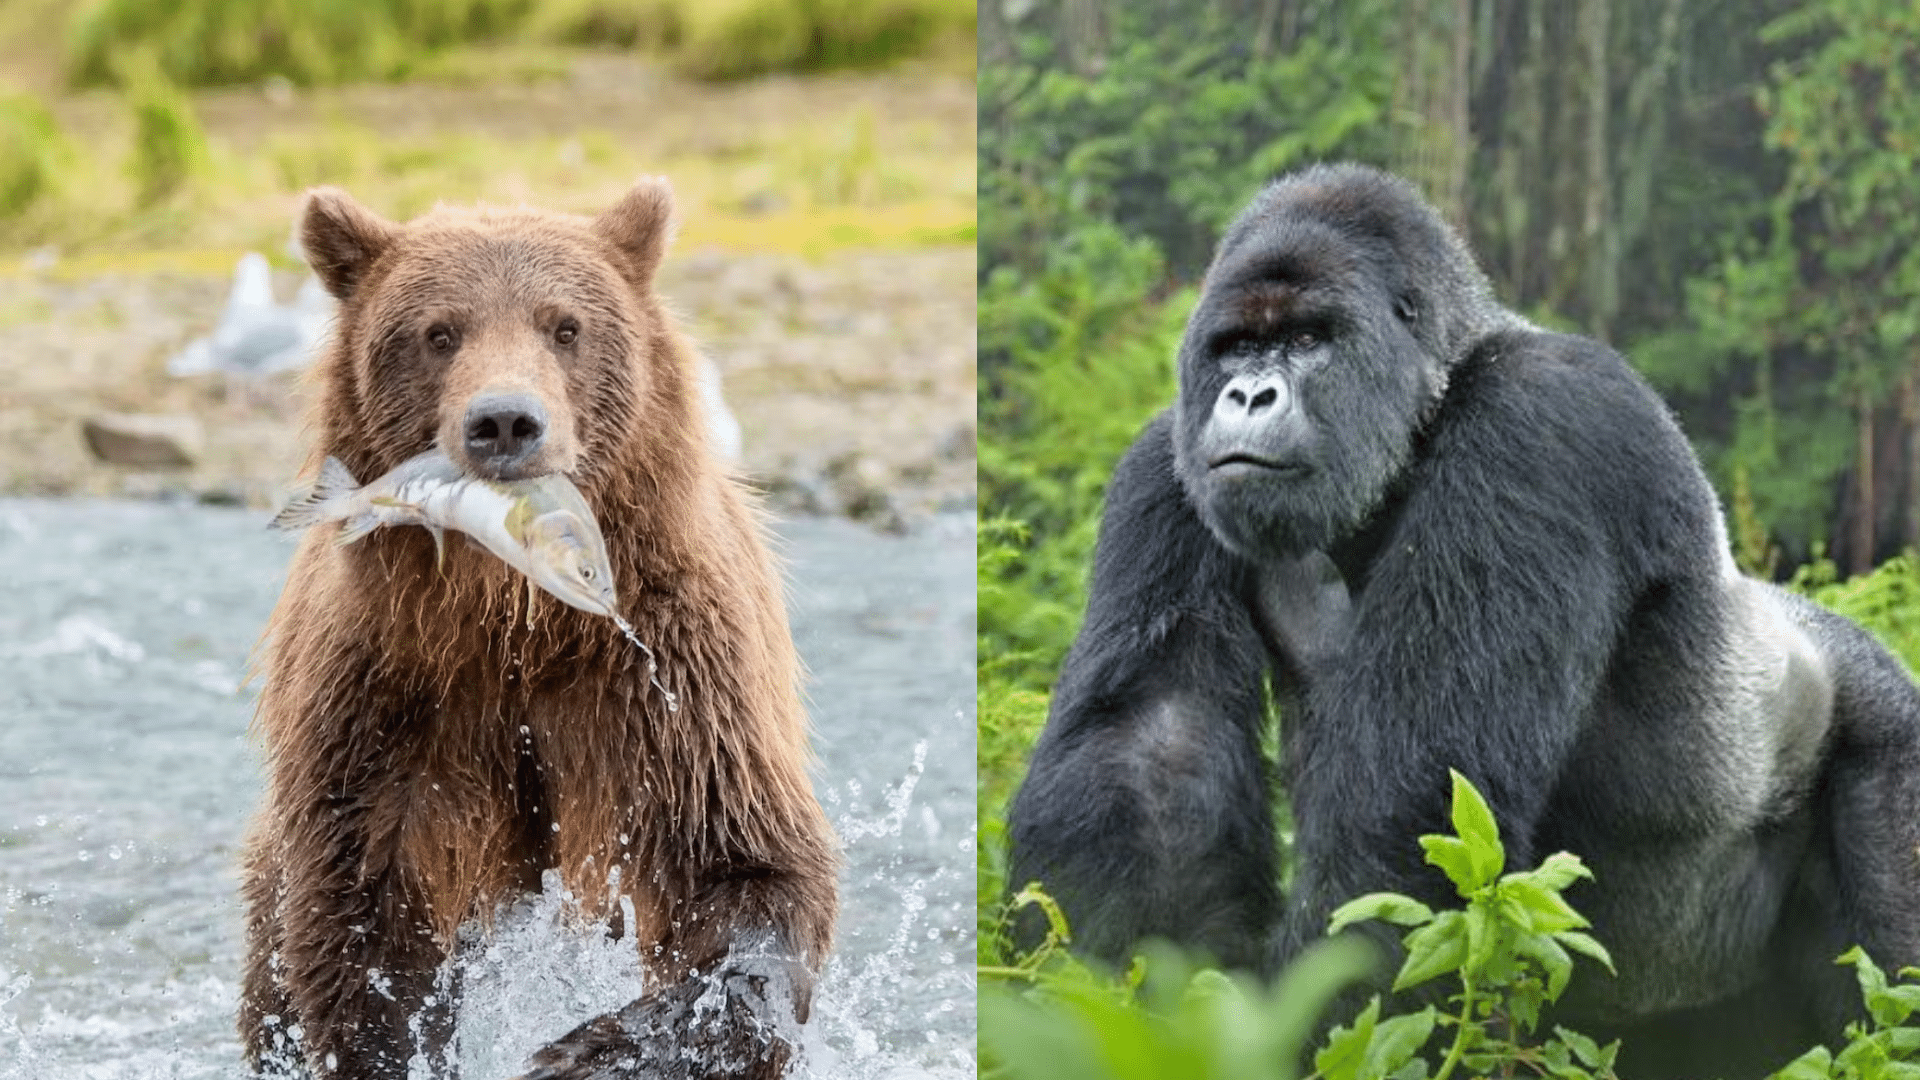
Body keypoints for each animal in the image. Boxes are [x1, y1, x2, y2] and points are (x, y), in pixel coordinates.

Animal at [238, 180, 839, 1080]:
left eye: (565, 326)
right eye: (439, 332)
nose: (504, 424)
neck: (516, 614)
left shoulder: (669, 673)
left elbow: (742, 869)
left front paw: (587, 1051)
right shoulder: (388, 693)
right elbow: (362, 921)